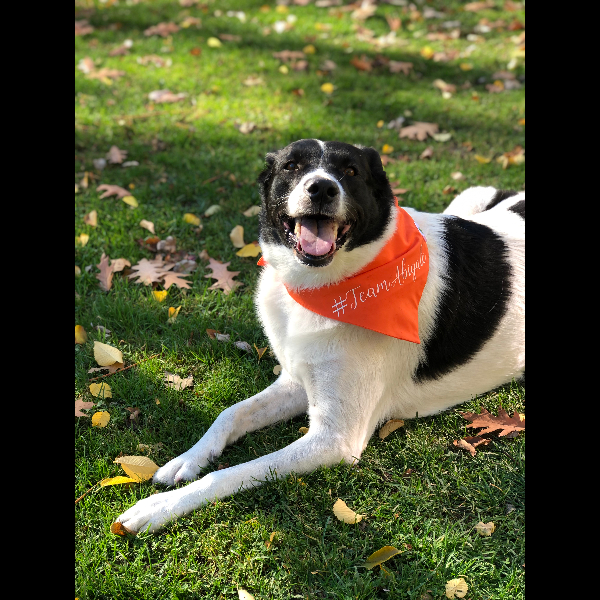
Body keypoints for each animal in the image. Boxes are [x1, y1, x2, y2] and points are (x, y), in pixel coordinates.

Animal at [117, 139, 524, 533]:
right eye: (291, 166)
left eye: (351, 171)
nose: (322, 188)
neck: (323, 287)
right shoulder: (296, 379)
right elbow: (229, 414)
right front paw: (186, 459)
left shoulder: (335, 439)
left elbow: (228, 474)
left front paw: (160, 507)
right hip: (472, 196)